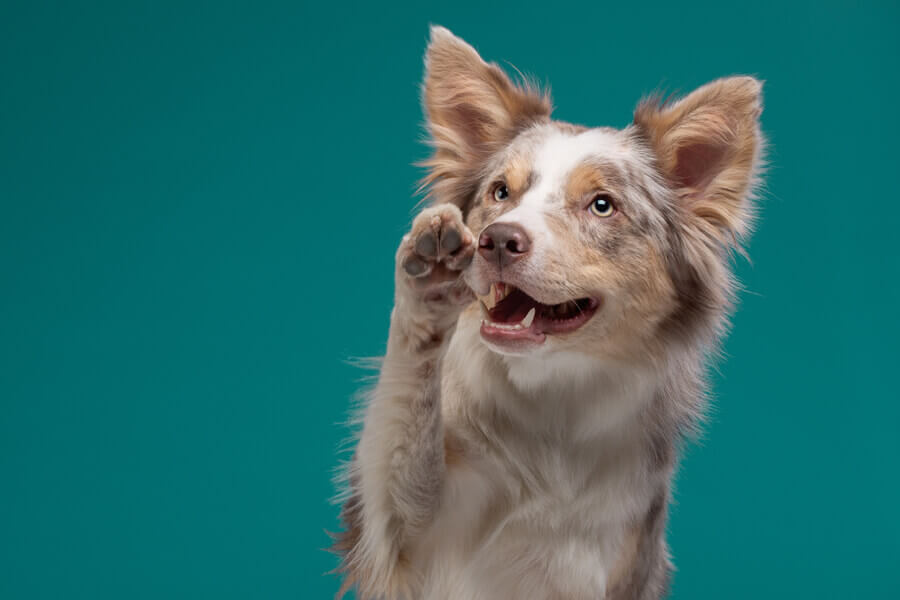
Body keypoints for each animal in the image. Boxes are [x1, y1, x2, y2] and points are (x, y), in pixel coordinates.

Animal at [334, 25, 764, 600]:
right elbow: (405, 413)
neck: (550, 399)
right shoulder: (409, 537)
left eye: (602, 205)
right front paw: (430, 283)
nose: (496, 240)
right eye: (501, 192)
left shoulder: (608, 561)